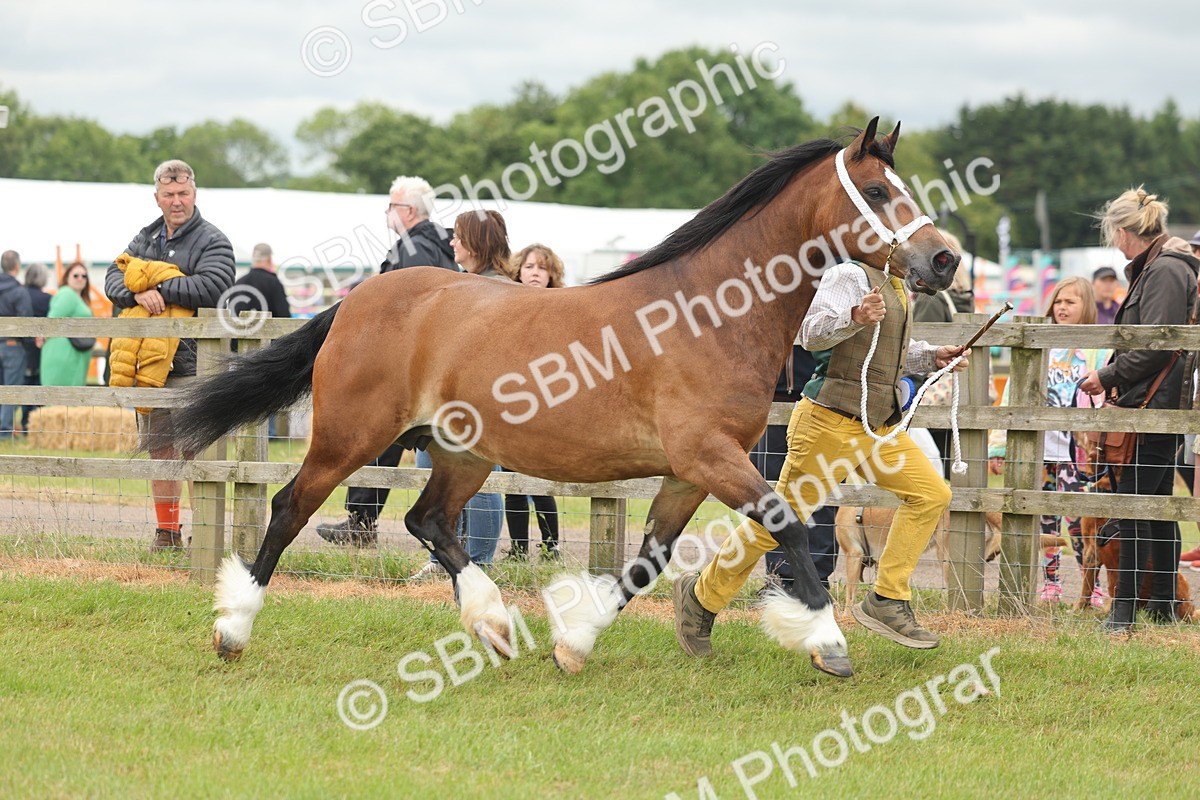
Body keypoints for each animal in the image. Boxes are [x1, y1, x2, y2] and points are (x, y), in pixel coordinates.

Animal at [165, 117, 959, 678]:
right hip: (350, 437)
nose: (945, 258)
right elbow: (789, 530)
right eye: (881, 192)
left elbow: (648, 560)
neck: (709, 314)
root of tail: (362, 297)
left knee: (429, 521)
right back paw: (233, 630)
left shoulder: (688, 473)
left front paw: (573, 643)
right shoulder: (709, 457)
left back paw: (491, 623)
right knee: (289, 508)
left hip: (464, 452)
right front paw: (829, 644)